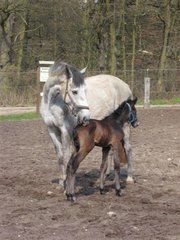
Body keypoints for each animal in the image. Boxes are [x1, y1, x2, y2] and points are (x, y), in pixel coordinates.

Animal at [40, 60, 134, 188]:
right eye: (74, 91)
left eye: (85, 91)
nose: (85, 117)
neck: (52, 103)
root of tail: (126, 86)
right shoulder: (52, 129)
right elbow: (60, 157)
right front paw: (60, 183)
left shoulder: (65, 130)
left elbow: (66, 157)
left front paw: (65, 182)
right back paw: (106, 175)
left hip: (125, 126)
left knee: (128, 148)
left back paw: (130, 178)